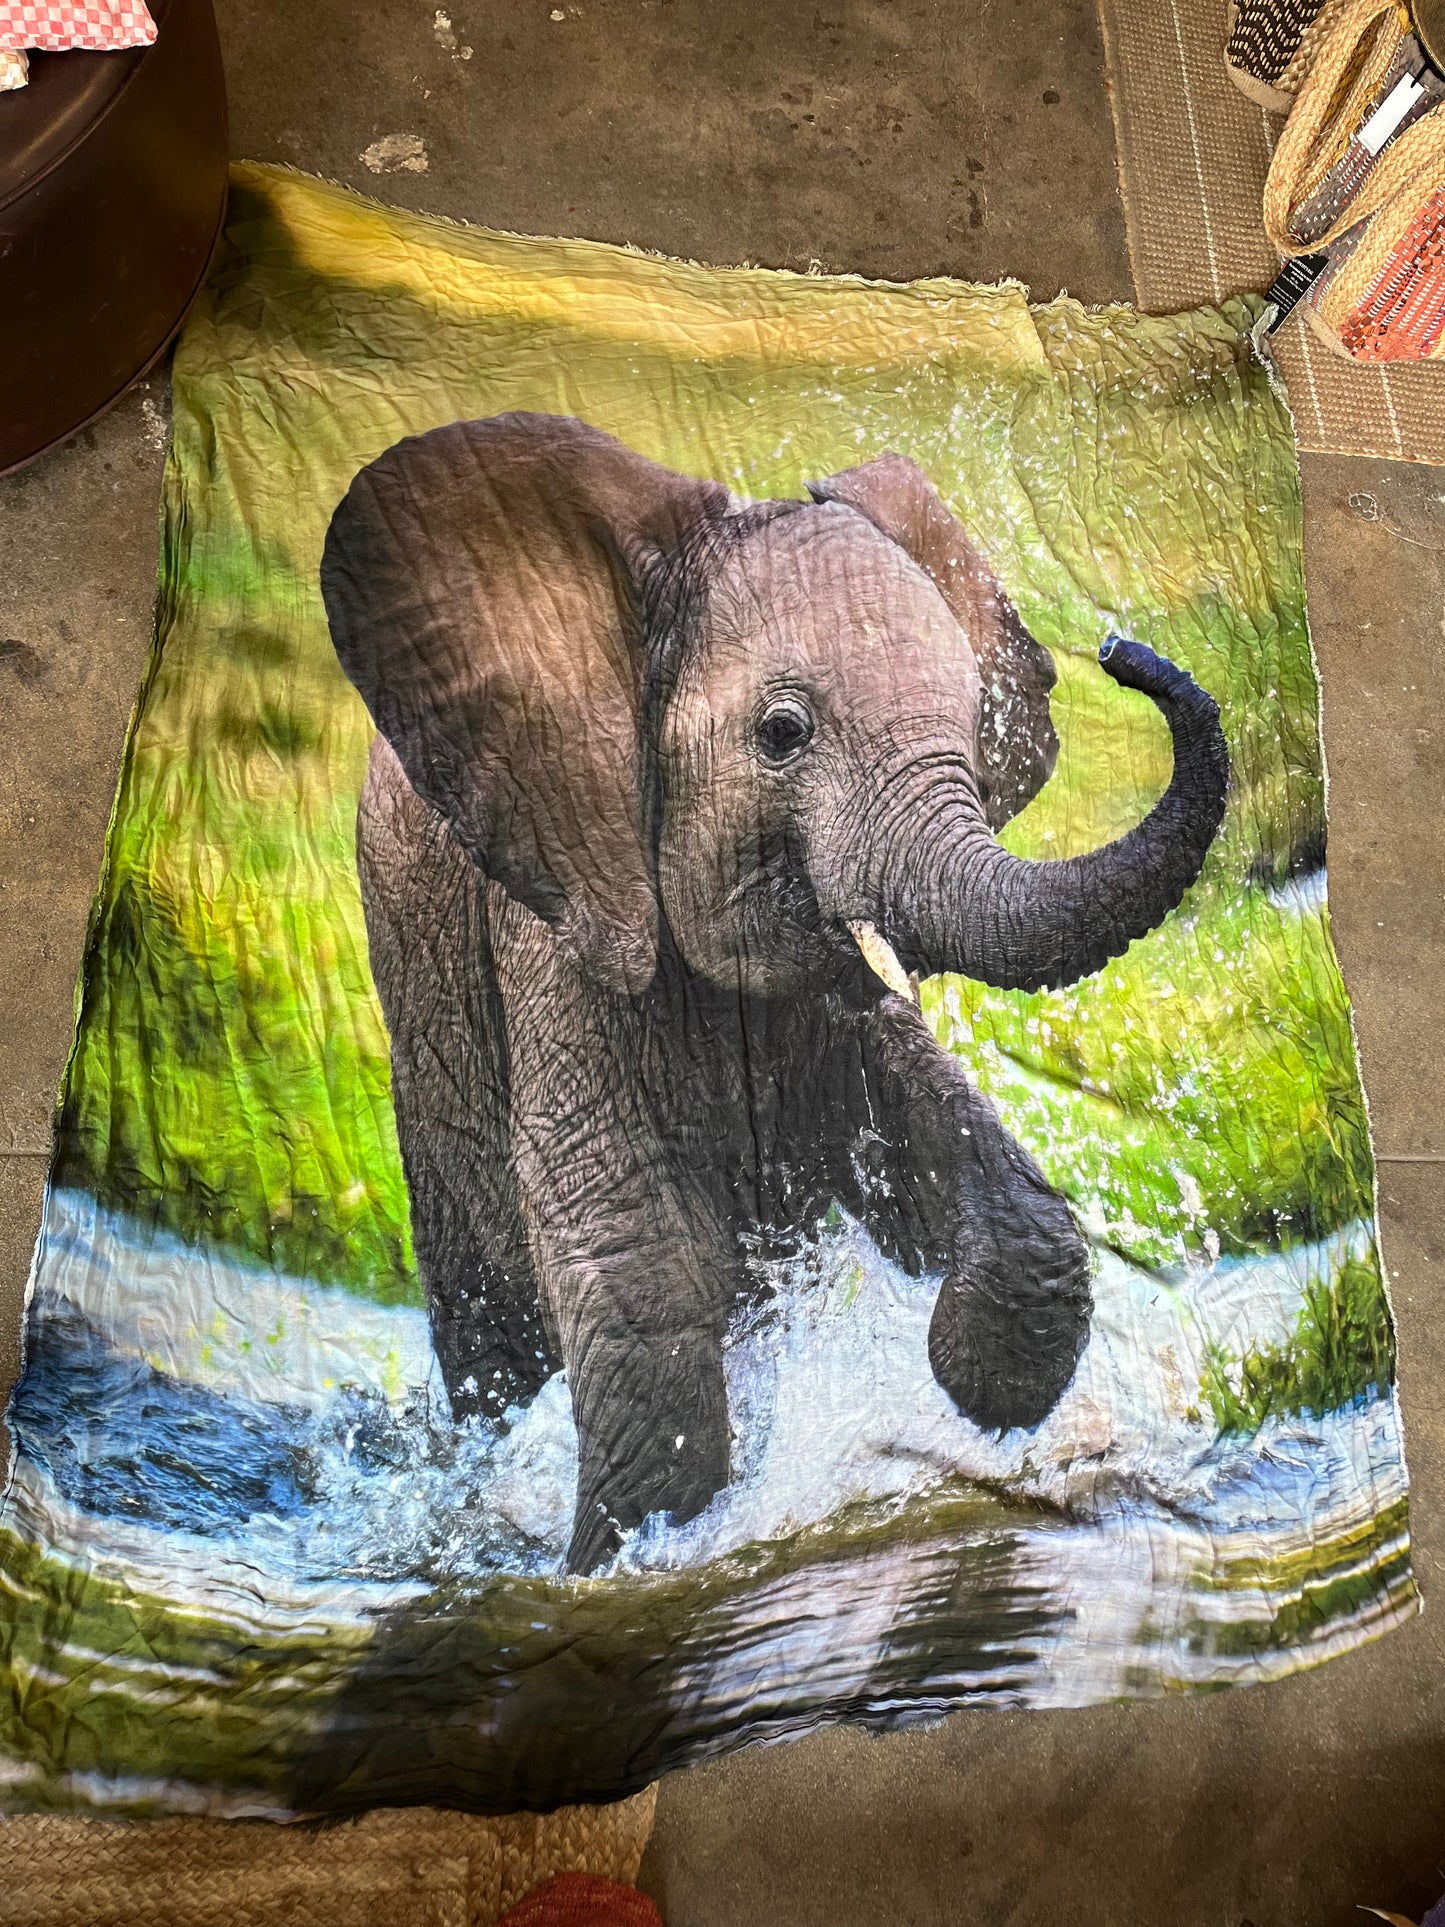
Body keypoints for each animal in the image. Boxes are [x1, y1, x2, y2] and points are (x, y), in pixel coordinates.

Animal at [320, 412, 1230, 1575]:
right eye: (783, 733)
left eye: (974, 728)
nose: (1122, 653)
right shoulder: (561, 901)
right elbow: (633, 1250)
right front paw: (629, 1560)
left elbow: (918, 1131)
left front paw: (965, 1378)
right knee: (496, 1326)